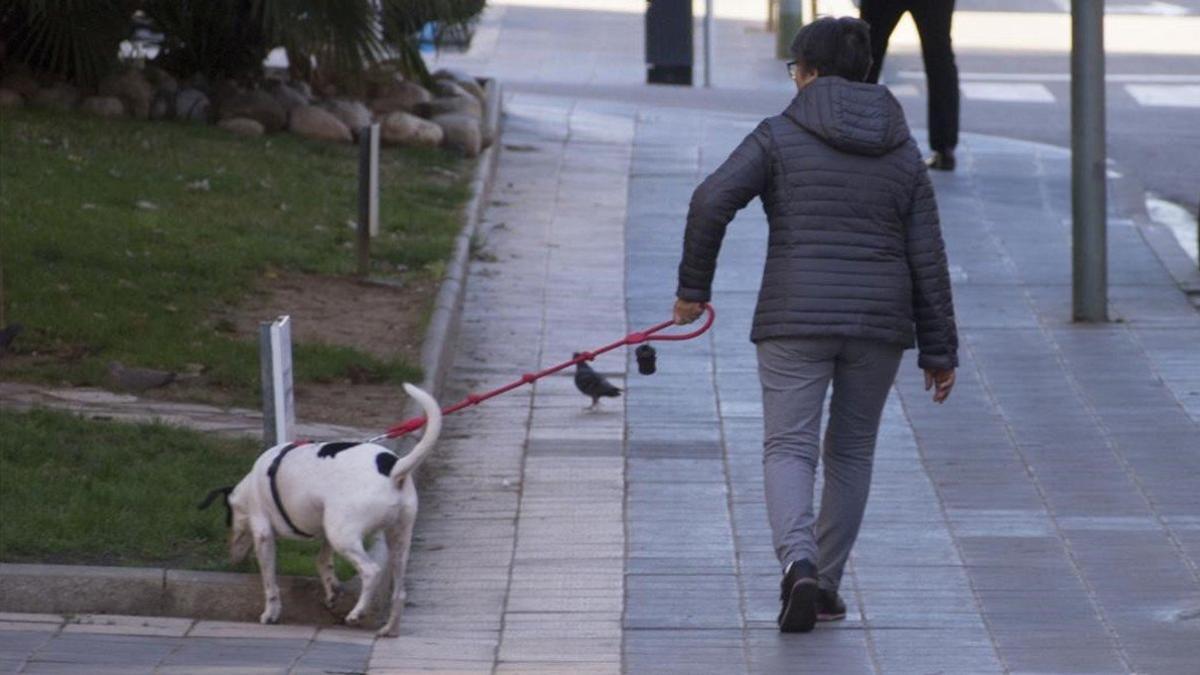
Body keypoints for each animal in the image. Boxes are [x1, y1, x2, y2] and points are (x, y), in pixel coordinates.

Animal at [199, 381, 444, 634]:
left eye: (228, 520)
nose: (232, 559)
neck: (251, 485)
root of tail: (395, 469)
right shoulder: (326, 528)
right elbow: (322, 561)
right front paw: (331, 590)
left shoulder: (264, 534)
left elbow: (270, 582)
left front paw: (271, 612)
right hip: (395, 538)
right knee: (399, 591)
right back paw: (389, 629)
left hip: (344, 536)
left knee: (372, 571)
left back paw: (357, 613)